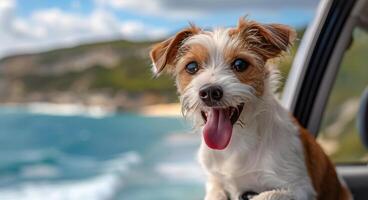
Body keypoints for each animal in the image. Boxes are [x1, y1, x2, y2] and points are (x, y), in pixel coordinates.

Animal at [149, 18, 350, 199]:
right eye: (191, 66)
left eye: (240, 64)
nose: (210, 92)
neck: (236, 143)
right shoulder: (215, 181)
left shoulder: (299, 188)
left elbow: (267, 195)